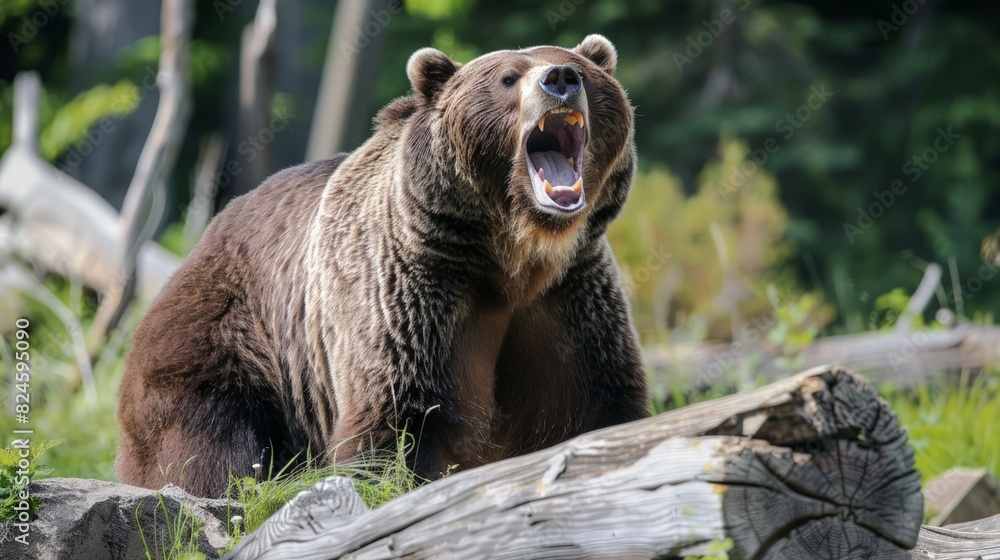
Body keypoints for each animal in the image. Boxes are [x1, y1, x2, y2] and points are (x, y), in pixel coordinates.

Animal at [115, 34, 649, 498]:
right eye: (508, 77)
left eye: (581, 71)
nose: (560, 79)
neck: (513, 254)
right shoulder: (413, 289)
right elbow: (400, 421)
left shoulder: (567, 298)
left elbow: (592, 404)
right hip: (229, 332)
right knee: (207, 437)